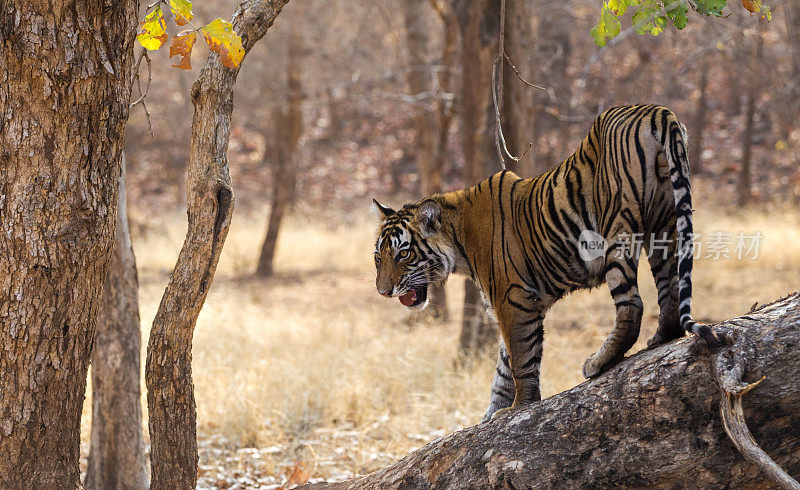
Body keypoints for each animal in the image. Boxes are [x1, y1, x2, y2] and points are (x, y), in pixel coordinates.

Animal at [372, 102, 716, 422]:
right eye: (379, 258)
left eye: (404, 254)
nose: (383, 292)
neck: (459, 243)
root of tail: (655, 111)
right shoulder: (516, 304)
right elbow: (503, 370)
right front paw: (488, 418)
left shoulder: (513, 300)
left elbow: (521, 360)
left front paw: (518, 408)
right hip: (665, 222)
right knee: (671, 287)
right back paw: (660, 338)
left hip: (617, 229)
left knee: (631, 307)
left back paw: (598, 363)